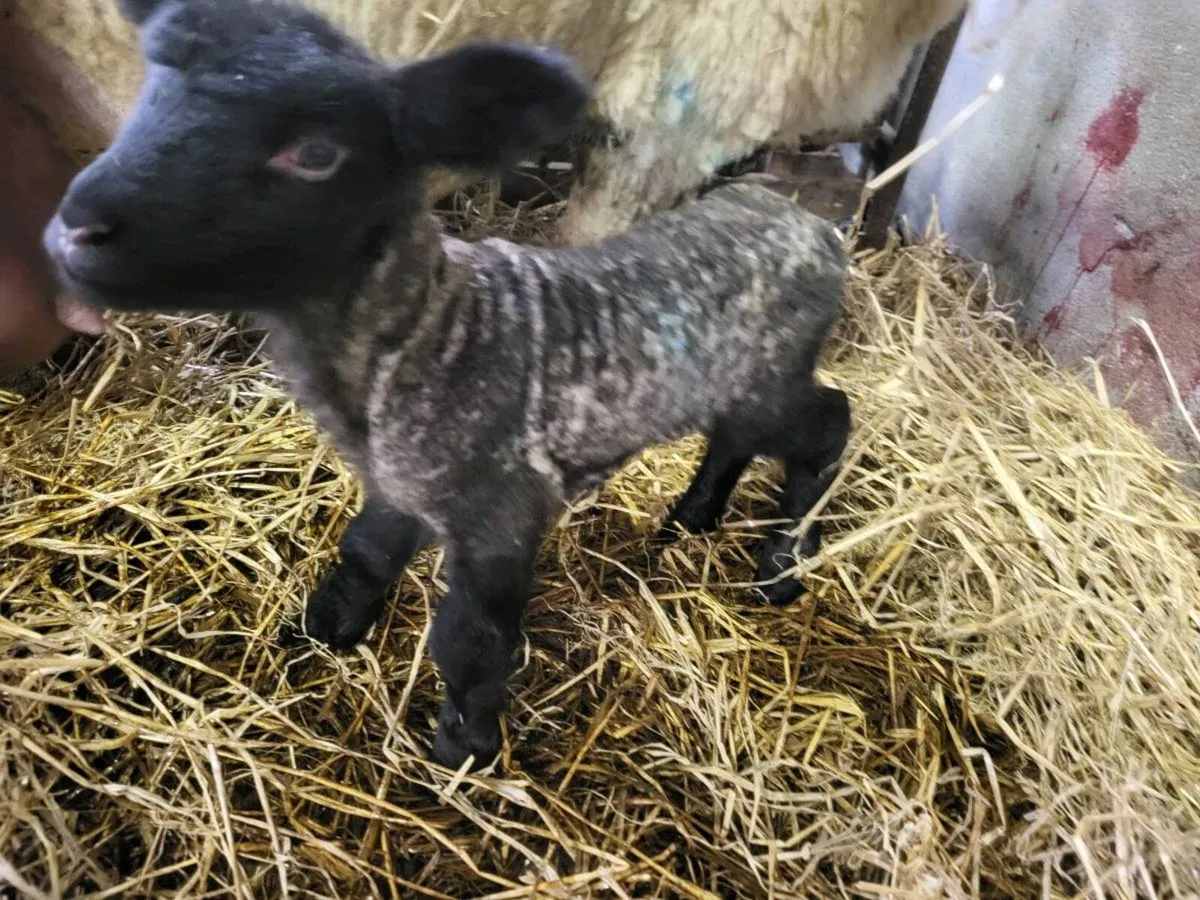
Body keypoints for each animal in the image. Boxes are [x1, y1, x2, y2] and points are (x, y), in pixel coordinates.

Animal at [42, 0, 853, 771]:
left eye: (317, 154)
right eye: (151, 91)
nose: (76, 229)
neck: (425, 330)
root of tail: (807, 223)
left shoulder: (500, 513)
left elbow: (470, 638)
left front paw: (465, 750)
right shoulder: (399, 485)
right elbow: (363, 555)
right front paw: (326, 630)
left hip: (773, 375)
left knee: (828, 426)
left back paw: (782, 566)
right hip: (733, 379)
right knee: (734, 436)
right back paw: (693, 517)